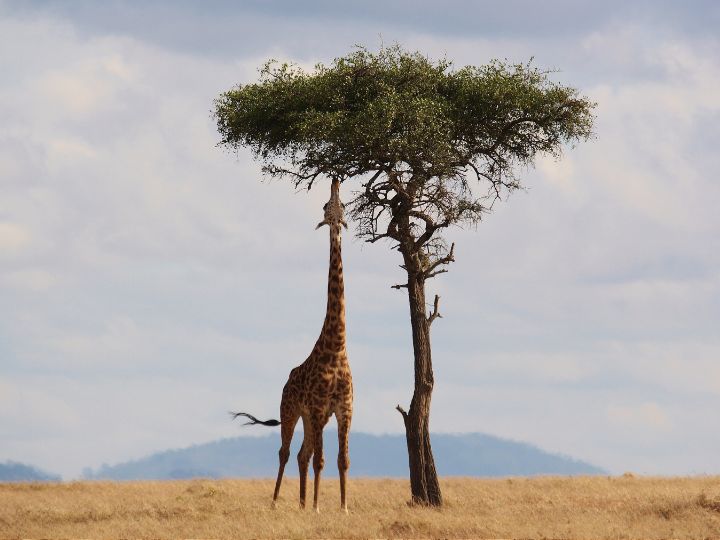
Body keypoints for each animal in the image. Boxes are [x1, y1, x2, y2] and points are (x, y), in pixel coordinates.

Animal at [232, 179, 352, 512]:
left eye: (342, 206)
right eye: (326, 205)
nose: (336, 180)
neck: (337, 347)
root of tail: (286, 381)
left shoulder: (344, 409)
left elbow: (342, 460)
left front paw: (343, 508)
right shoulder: (319, 407)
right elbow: (322, 460)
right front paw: (318, 507)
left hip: (311, 417)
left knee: (302, 454)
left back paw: (300, 503)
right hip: (291, 410)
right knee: (287, 452)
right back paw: (277, 502)